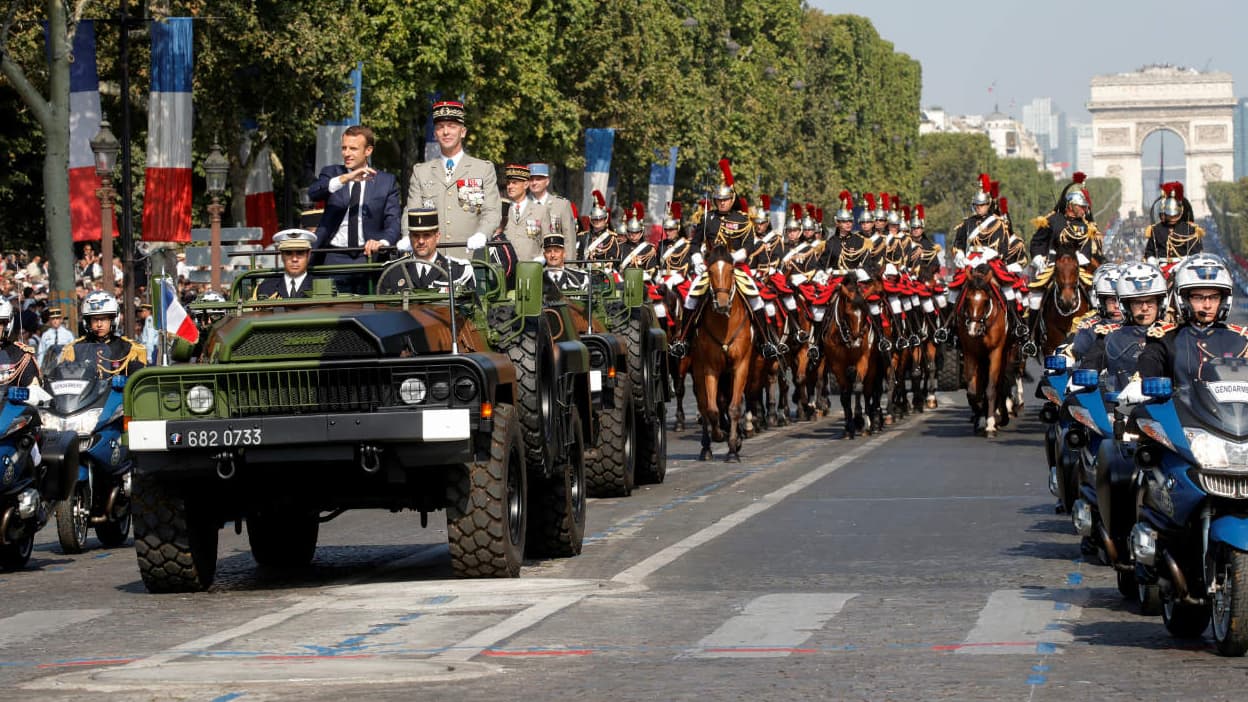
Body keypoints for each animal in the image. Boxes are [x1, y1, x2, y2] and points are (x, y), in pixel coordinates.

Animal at [953, 268, 1013, 437]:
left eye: (986, 301)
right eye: (967, 299)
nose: (973, 330)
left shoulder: (996, 352)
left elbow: (991, 388)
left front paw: (991, 424)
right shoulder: (971, 353)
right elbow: (974, 392)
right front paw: (980, 418)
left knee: (999, 384)